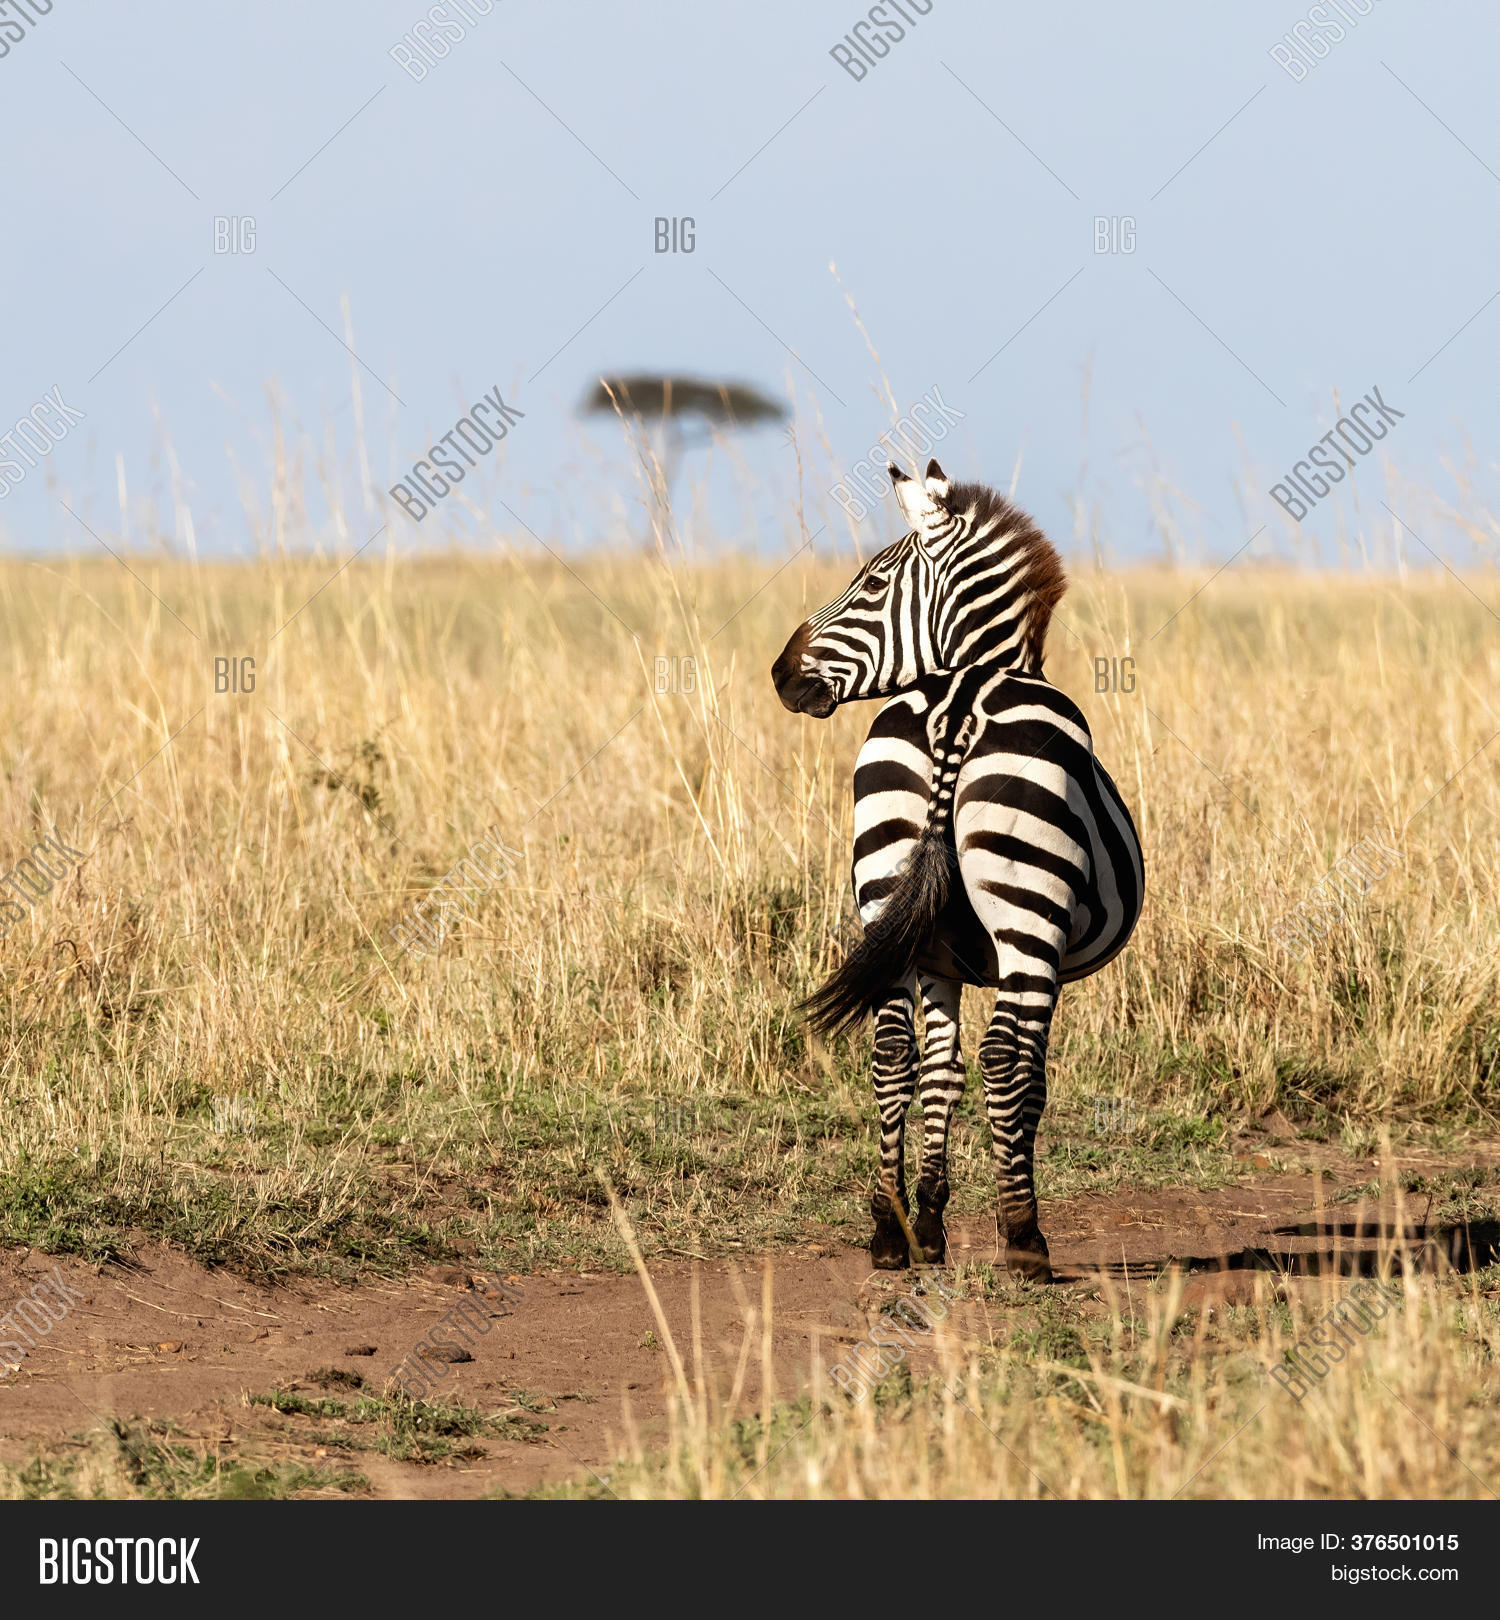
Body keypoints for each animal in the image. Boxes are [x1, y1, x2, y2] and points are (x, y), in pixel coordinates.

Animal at [772, 459, 1144, 1280]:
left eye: (871, 582)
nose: (781, 674)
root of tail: (959, 704)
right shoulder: (1027, 960)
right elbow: (1026, 1078)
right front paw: (999, 1222)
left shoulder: (936, 955)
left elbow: (939, 1071)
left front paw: (929, 1222)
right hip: (1030, 916)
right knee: (1006, 1060)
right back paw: (1026, 1243)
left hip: (885, 882)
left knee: (889, 1053)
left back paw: (887, 1232)